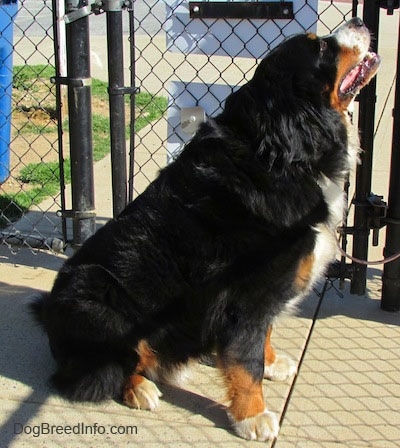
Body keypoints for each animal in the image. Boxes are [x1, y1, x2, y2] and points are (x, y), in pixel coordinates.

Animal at [30, 17, 378, 440]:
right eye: (322, 48)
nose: (359, 20)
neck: (286, 154)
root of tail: (50, 315)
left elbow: (263, 336)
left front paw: (272, 363)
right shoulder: (244, 295)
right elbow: (245, 360)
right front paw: (252, 416)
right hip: (97, 294)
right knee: (99, 372)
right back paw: (140, 387)